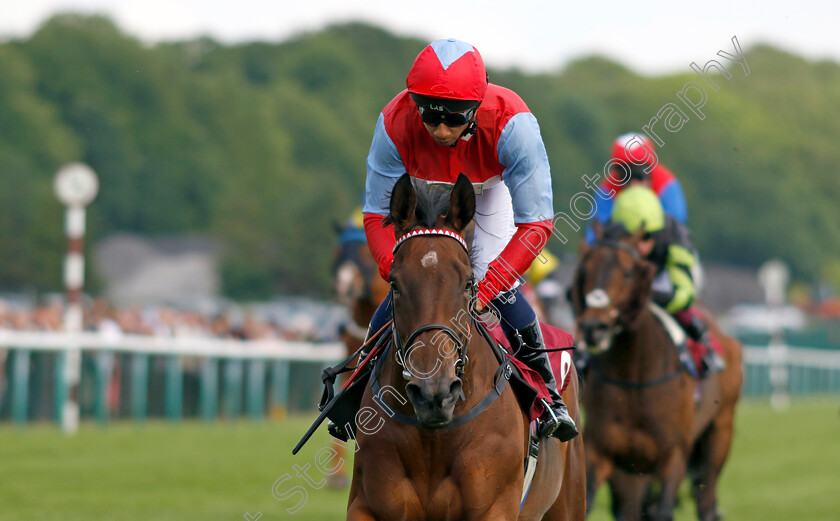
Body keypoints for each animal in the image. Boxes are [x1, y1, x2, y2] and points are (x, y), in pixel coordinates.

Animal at [346, 175, 584, 520]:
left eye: (469, 283)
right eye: (394, 284)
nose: (434, 392)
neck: (433, 435)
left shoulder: (493, 508)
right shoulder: (368, 505)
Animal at [572, 231, 740, 520]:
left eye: (628, 272)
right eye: (586, 270)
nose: (594, 327)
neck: (634, 378)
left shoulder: (673, 455)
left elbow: (662, 510)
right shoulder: (603, 452)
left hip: (720, 431)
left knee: (706, 499)